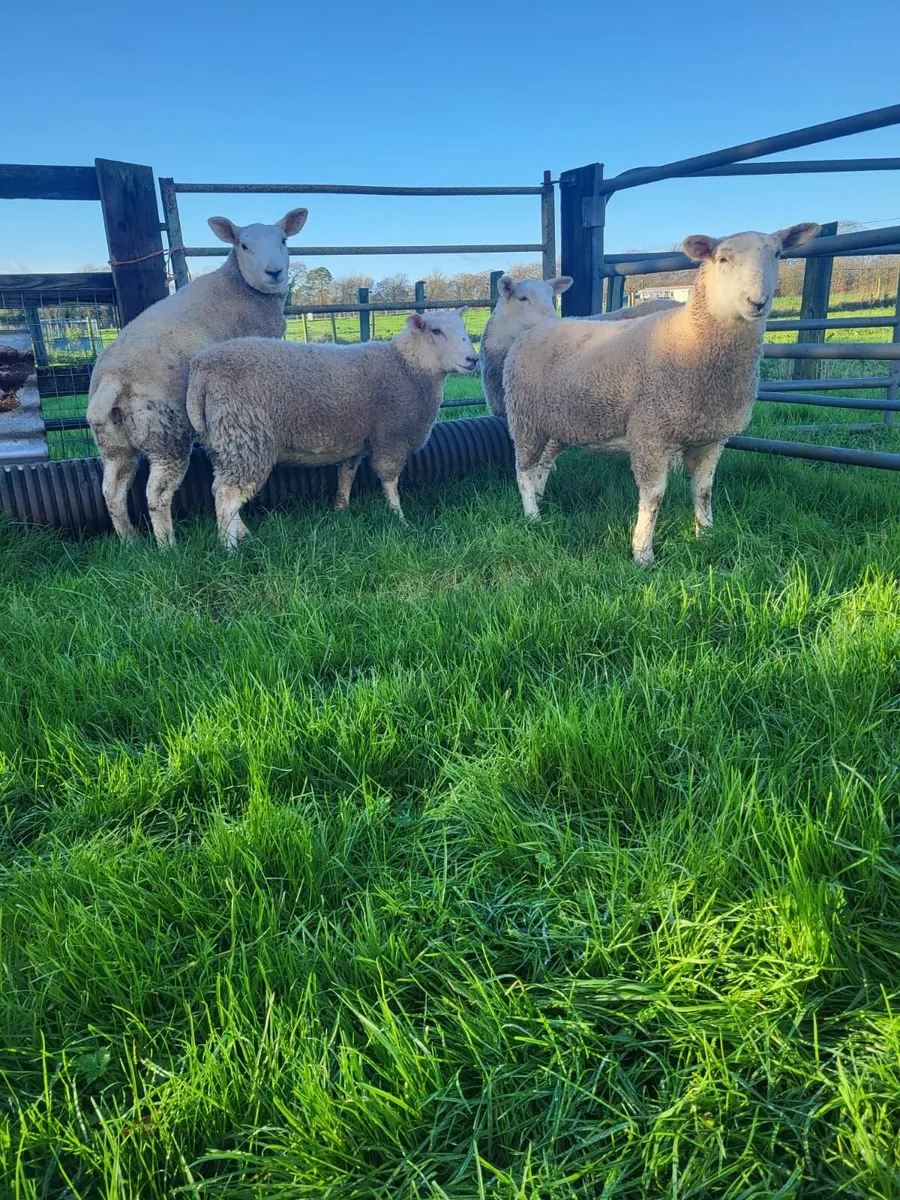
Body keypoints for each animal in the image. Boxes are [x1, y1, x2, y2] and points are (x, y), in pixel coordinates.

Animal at [87, 208, 309, 545]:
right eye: (244, 246)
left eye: (283, 240)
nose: (274, 272)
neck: (240, 286)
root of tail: (113, 378)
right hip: (166, 433)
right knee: (157, 494)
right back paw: (168, 546)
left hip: (114, 444)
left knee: (111, 490)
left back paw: (130, 540)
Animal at [186, 309, 477, 548]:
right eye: (436, 331)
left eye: (463, 327)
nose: (473, 359)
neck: (407, 367)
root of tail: (201, 368)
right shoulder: (390, 437)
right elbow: (389, 482)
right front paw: (400, 519)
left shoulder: (355, 441)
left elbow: (346, 475)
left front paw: (341, 511)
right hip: (245, 435)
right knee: (226, 495)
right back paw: (229, 548)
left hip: (223, 440)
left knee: (221, 488)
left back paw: (242, 534)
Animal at [503, 223, 820, 565]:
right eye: (722, 259)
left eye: (778, 254)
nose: (757, 301)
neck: (692, 338)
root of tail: (533, 331)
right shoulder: (651, 433)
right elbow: (653, 497)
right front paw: (643, 553)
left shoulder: (712, 438)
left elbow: (703, 491)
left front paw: (707, 536)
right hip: (525, 419)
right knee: (523, 469)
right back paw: (532, 515)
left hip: (560, 424)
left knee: (542, 465)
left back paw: (540, 500)